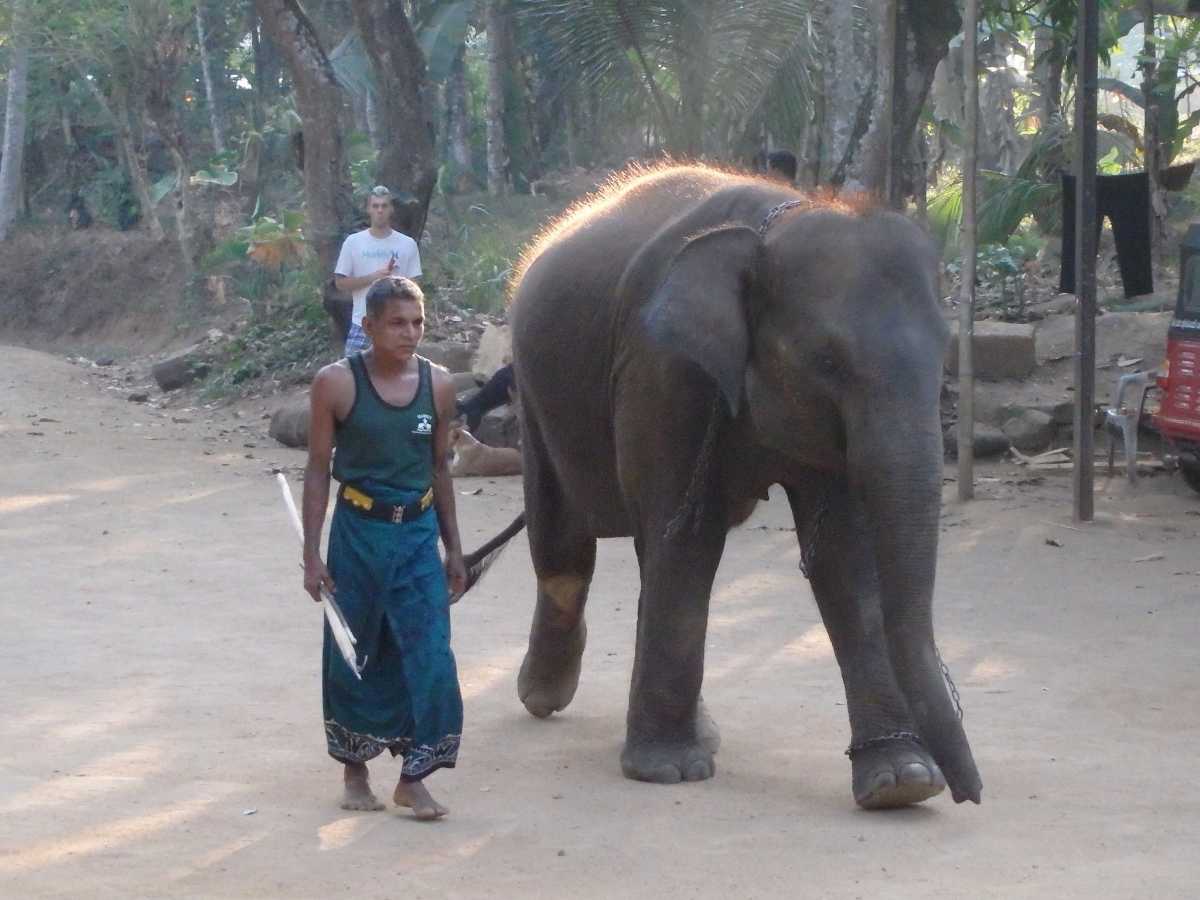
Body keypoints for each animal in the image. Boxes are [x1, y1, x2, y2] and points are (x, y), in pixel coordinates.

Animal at [506, 162, 984, 811]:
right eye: (827, 362)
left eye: (945, 355)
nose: (970, 793)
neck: (777, 226)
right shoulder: (662, 368)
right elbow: (687, 539)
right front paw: (668, 771)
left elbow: (844, 558)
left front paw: (901, 783)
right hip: (533, 392)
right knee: (563, 541)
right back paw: (543, 695)